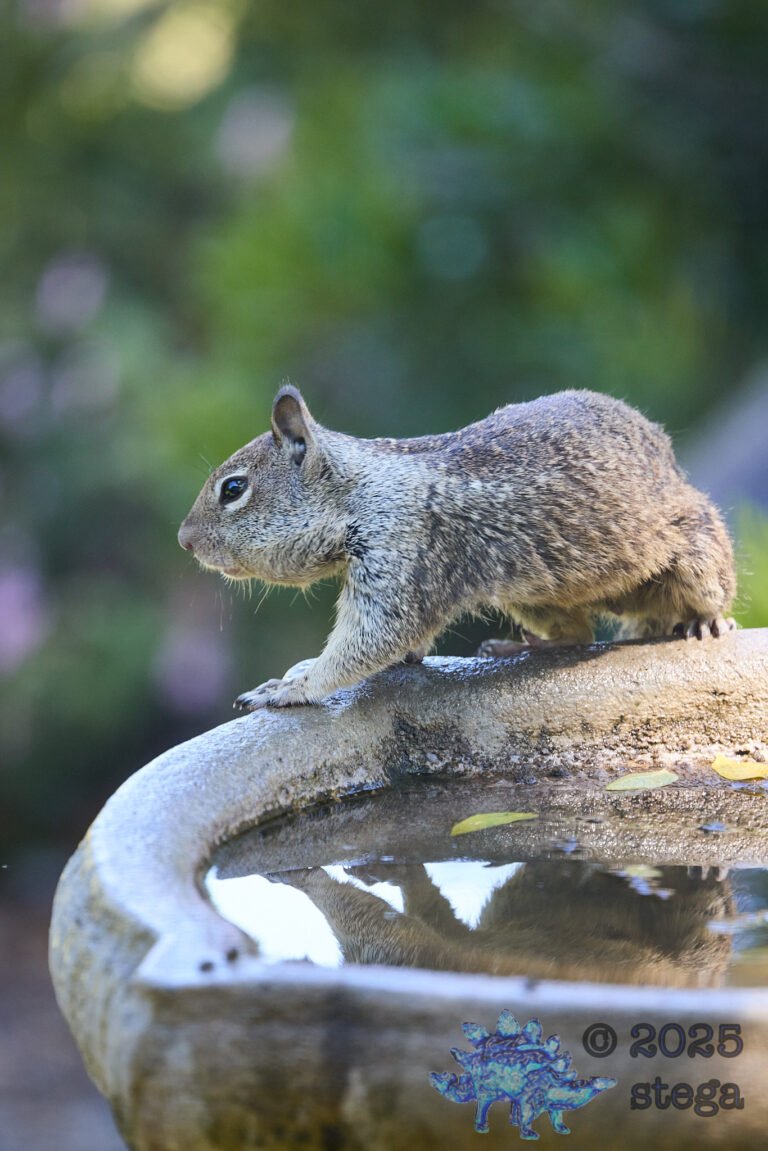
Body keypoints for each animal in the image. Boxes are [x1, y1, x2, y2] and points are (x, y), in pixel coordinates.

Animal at [178, 385, 736, 710]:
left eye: (233, 489)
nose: (184, 540)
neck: (359, 490)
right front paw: (295, 672)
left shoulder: (400, 551)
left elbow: (370, 641)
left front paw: (294, 686)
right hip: (528, 595)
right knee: (576, 634)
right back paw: (523, 646)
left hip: (694, 552)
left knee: (708, 594)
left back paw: (707, 623)